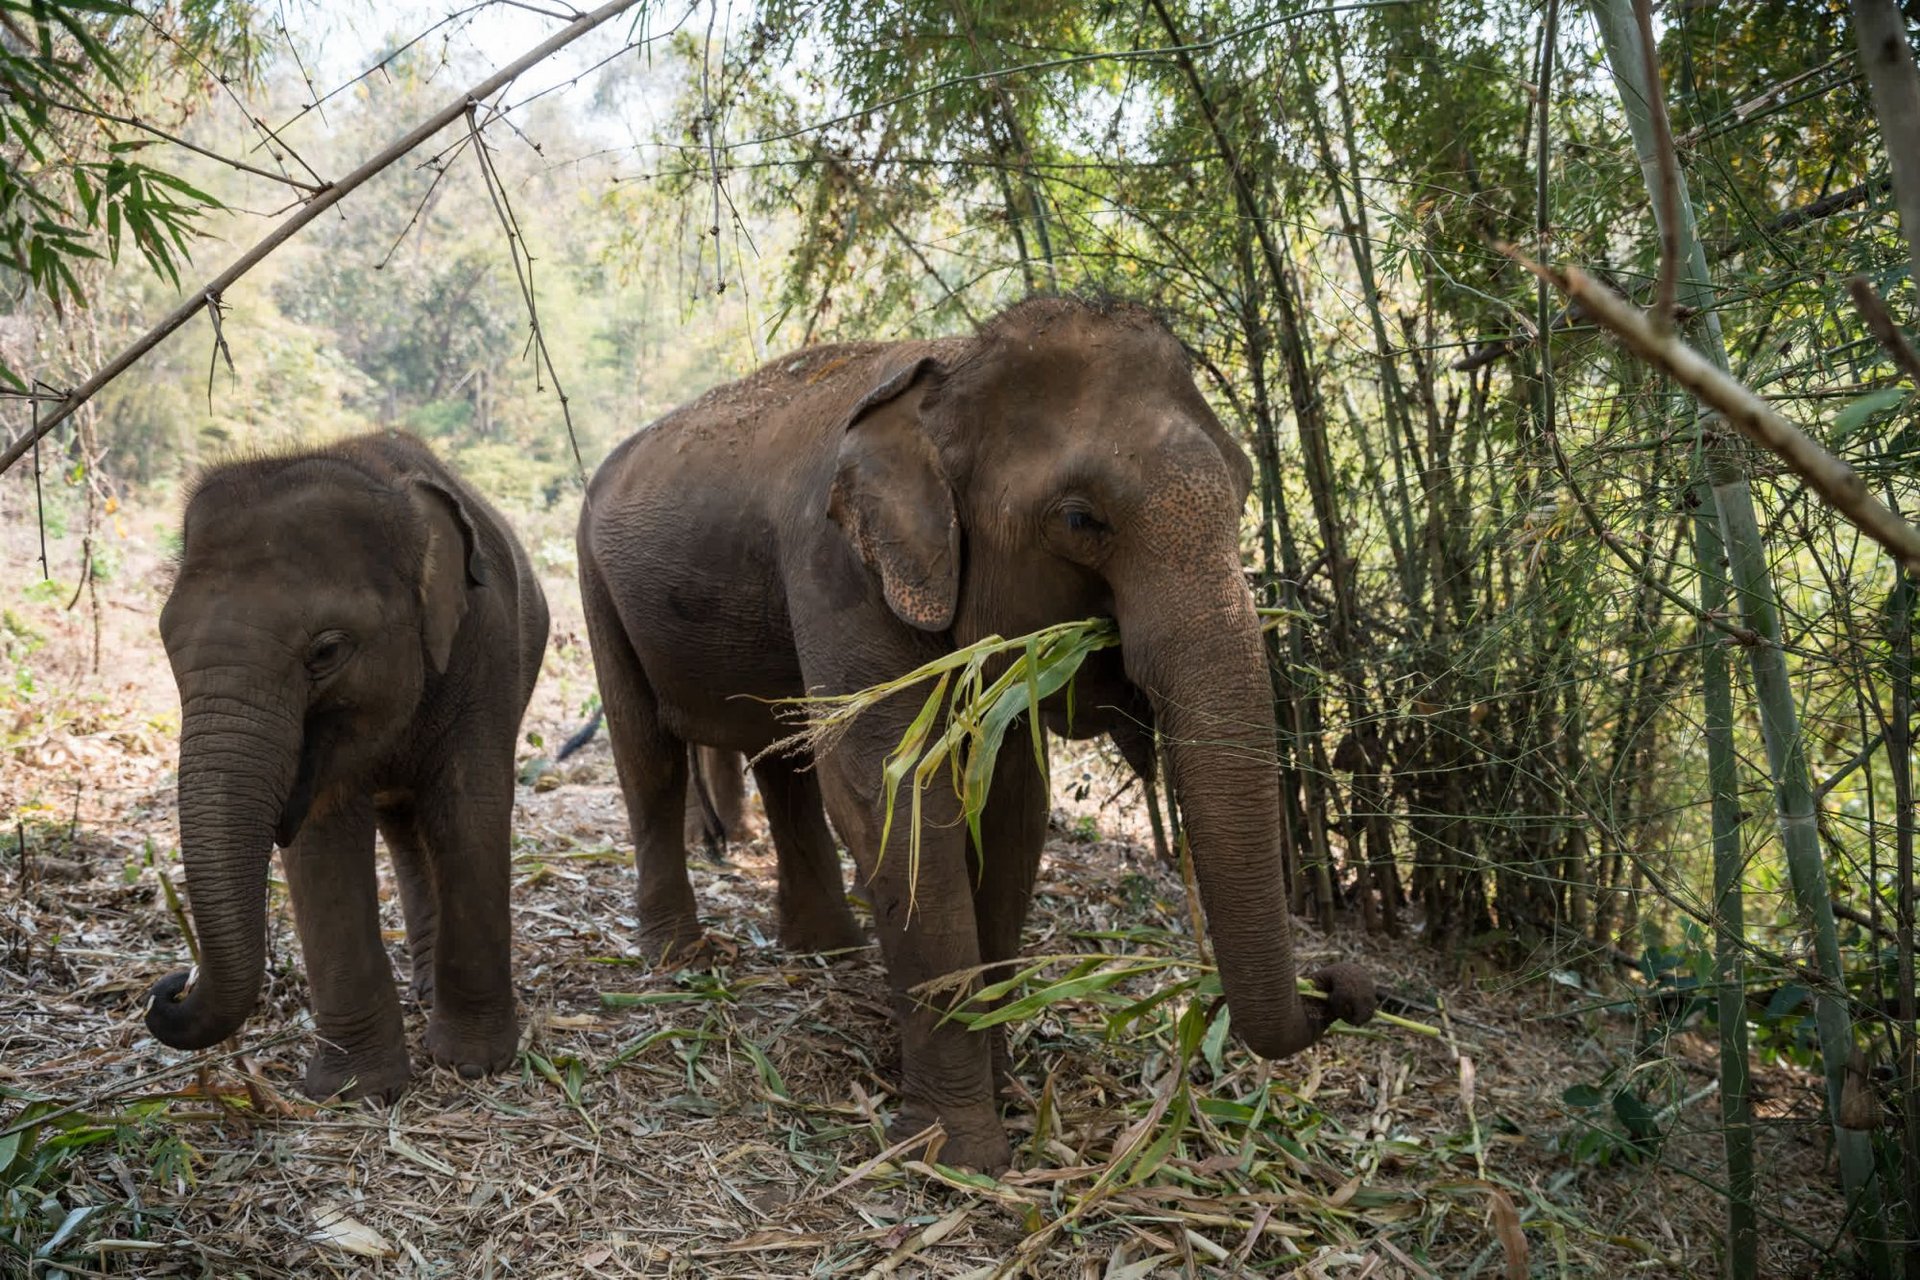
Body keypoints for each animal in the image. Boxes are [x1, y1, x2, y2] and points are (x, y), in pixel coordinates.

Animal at [140, 429, 549, 1105]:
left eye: (326, 651)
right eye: (167, 642)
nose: (171, 986)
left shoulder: (487, 650)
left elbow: (471, 808)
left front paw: (472, 1065)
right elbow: (325, 837)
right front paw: (355, 1091)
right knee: (404, 828)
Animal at [576, 293, 1374, 1174]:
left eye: (1242, 495)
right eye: (1080, 519)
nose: (1347, 988)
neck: (951, 366)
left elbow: (1011, 805)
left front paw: (1007, 1085)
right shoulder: (834, 563)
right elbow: (893, 795)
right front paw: (957, 1154)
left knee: (785, 759)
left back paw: (826, 952)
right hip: (593, 578)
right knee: (647, 754)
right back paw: (681, 960)